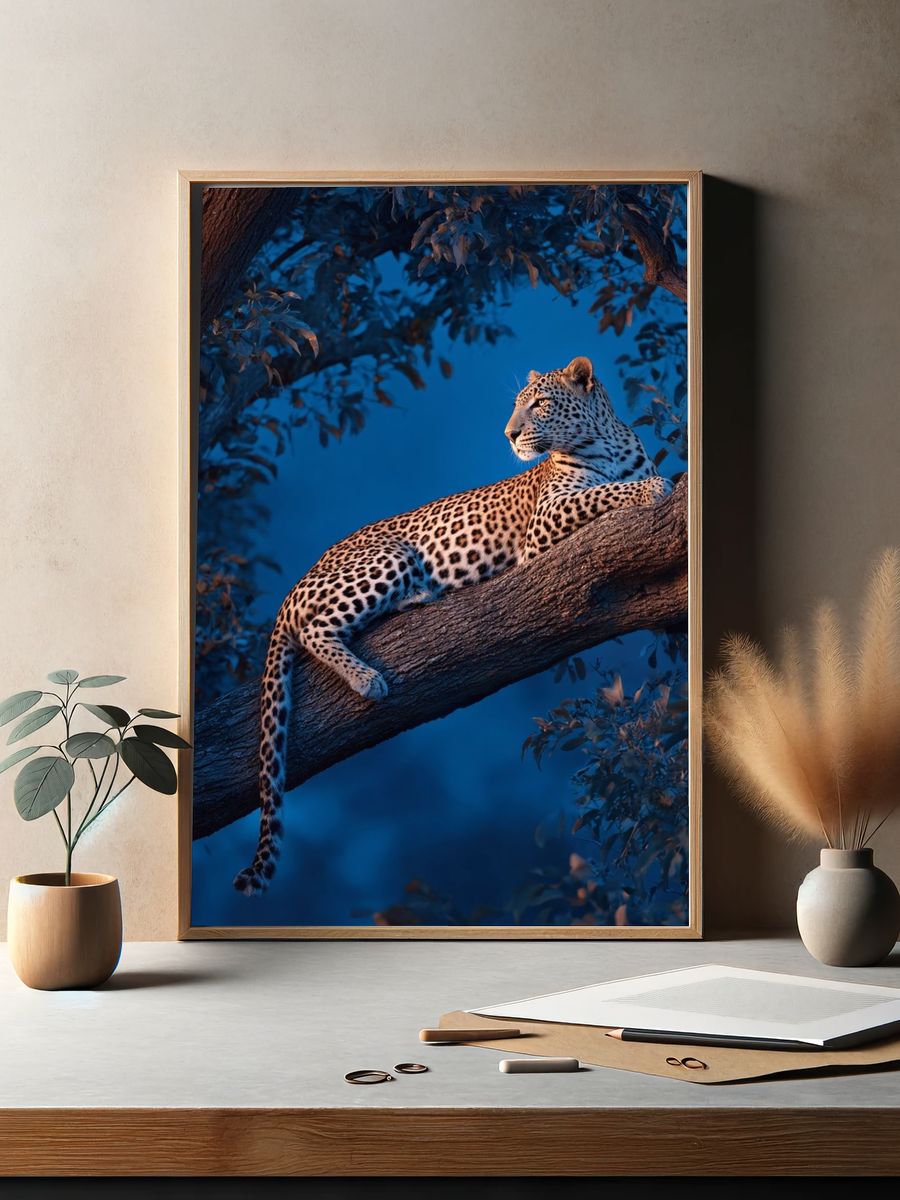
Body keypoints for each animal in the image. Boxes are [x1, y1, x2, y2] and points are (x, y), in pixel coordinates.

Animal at [234, 355, 670, 894]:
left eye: (539, 404)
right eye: (518, 406)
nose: (509, 434)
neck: (603, 441)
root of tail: (295, 586)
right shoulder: (547, 519)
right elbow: (606, 493)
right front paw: (653, 488)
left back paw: (417, 599)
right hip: (387, 557)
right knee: (315, 628)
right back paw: (368, 676)